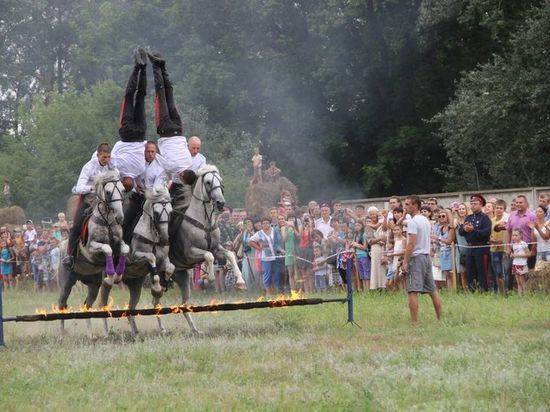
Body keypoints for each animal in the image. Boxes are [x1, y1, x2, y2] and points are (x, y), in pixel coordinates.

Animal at [57, 169, 130, 336]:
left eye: (123, 190)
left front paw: (116, 275)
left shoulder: (119, 244)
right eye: (108, 192)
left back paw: (91, 335)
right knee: (62, 304)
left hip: (93, 285)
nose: (120, 217)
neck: (107, 222)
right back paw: (62, 335)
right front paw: (111, 274)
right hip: (66, 282)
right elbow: (107, 249)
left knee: (86, 305)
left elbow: (124, 250)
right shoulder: (91, 249)